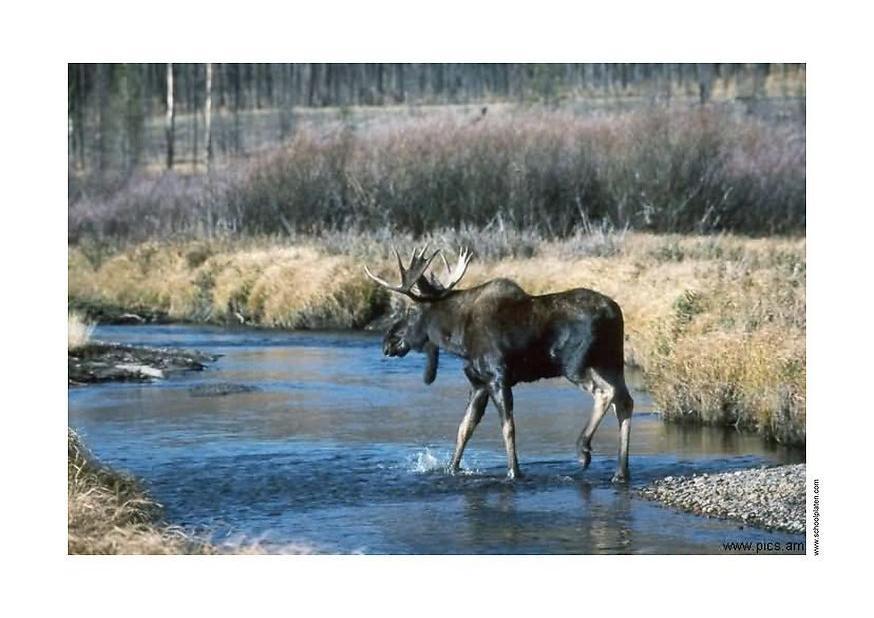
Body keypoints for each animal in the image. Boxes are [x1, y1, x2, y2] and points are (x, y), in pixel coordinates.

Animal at [364, 247, 634, 483]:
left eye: (411, 311)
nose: (388, 341)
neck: (458, 338)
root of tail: (615, 314)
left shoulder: (498, 378)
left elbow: (508, 427)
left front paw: (514, 472)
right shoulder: (479, 384)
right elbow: (464, 429)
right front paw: (452, 468)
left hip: (576, 365)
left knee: (606, 393)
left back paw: (583, 449)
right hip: (612, 364)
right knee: (625, 402)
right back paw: (620, 472)